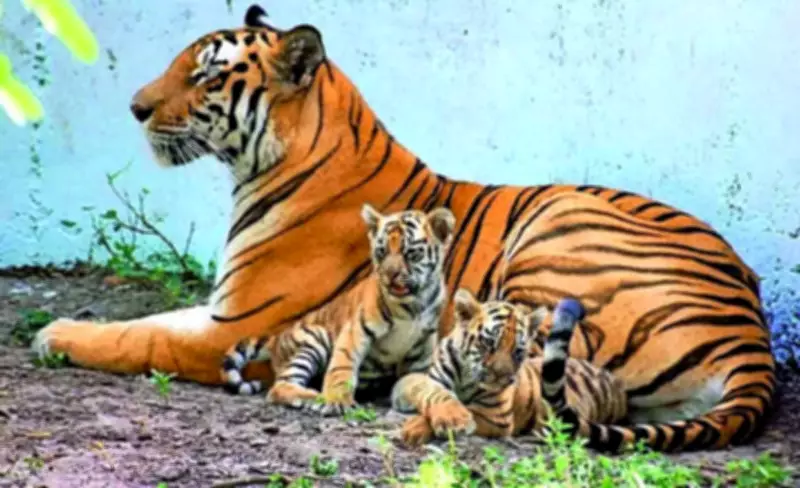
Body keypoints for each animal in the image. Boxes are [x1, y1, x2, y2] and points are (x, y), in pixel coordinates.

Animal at [218, 204, 455, 415]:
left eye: (411, 253)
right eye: (381, 252)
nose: (389, 275)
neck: (413, 304)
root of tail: (277, 337)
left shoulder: (422, 348)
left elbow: (417, 377)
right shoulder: (355, 330)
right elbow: (342, 366)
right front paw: (336, 401)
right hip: (315, 337)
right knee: (278, 386)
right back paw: (313, 397)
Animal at [391, 289, 628, 446]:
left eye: (518, 352)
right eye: (489, 344)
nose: (501, 377)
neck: (467, 377)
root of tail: (617, 384)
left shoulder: (495, 416)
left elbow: (468, 410)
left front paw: (418, 428)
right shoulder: (427, 379)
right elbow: (433, 391)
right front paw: (450, 417)